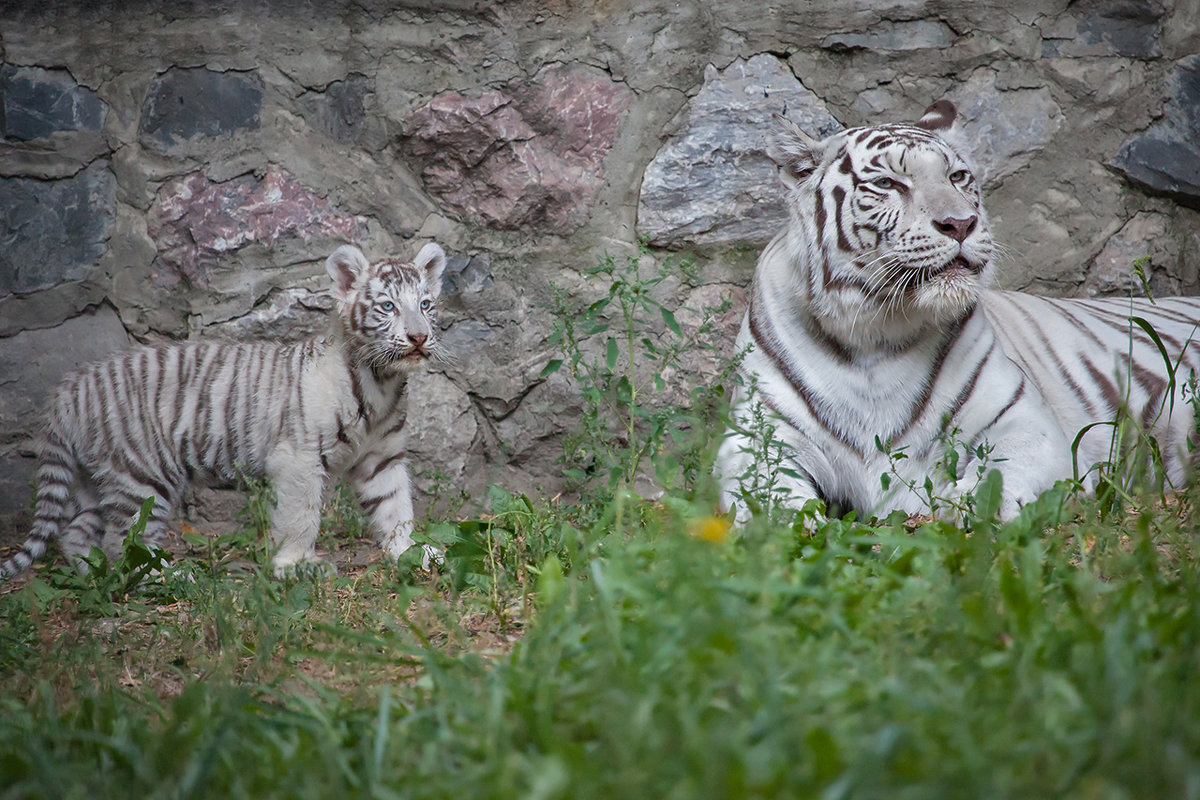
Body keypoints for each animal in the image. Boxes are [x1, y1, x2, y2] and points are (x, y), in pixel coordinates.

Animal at [1, 241, 451, 578]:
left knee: (77, 532)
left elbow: (395, 506)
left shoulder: (382, 457)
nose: (418, 337)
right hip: (142, 474)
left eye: (426, 305)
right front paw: (297, 566)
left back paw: (92, 574)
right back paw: (167, 576)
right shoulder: (298, 458)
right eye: (388, 307)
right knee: (123, 540)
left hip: (97, 478)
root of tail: (70, 388)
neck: (381, 382)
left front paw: (412, 552)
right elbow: (301, 515)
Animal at [715, 100, 1200, 522]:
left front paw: (968, 503)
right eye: (888, 184)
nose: (961, 224)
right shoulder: (757, 434)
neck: (873, 334)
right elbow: (761, 484)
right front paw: (783, 519)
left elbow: (1005, 466)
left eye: (958, 176)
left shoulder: (1023, 418)